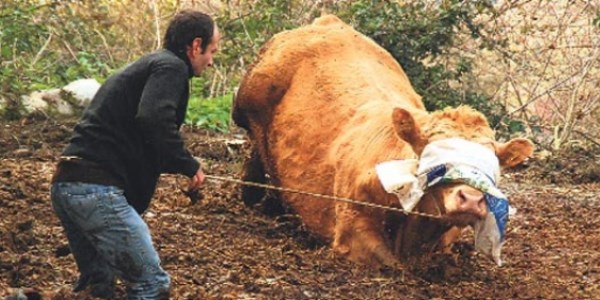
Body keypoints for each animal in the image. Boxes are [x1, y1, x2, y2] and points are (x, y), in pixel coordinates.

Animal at [231, 14, 536, 268]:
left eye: (491, 163)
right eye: (433, 152)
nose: (471, 199)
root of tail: (328, 22)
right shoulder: (351, 227)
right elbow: (391, 263)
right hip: (249, 105)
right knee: (257, 150)